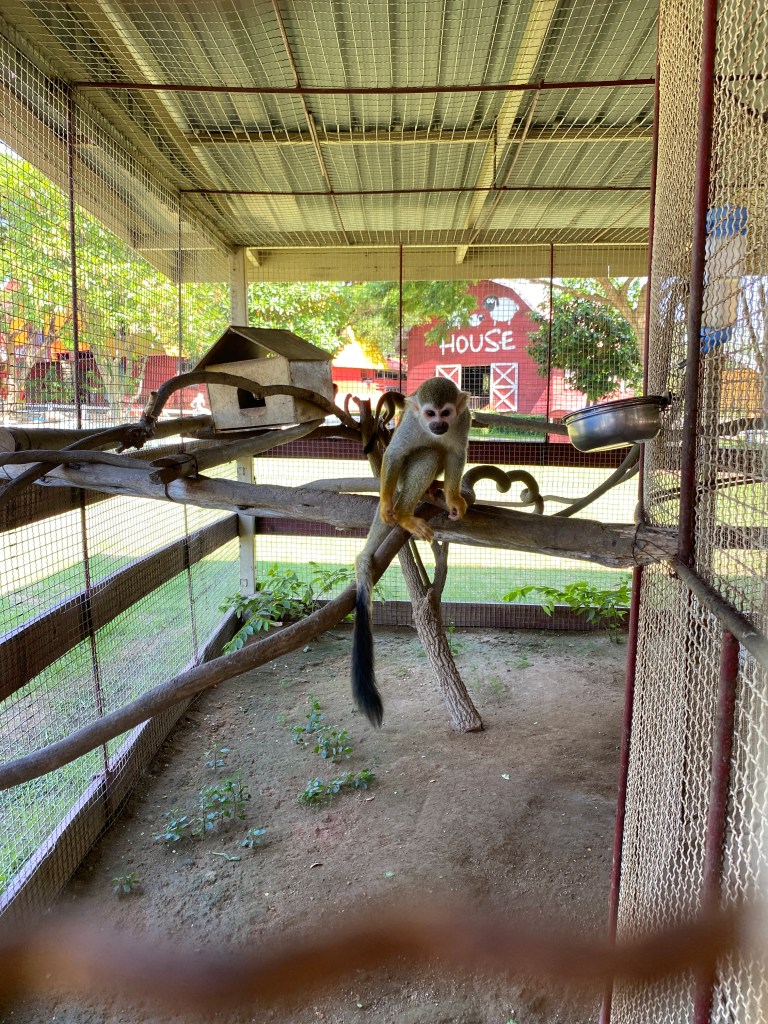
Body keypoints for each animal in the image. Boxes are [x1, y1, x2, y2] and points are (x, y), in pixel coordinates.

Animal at [352, 377, 471, 726]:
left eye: (446, 413)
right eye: (430, 413)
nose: (437, 424)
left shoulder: (463, 420)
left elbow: (456, 452)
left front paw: (453, 497)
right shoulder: (410, 429)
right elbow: (394, 454)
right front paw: (385, 504)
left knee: (440, 452)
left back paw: (437, 489)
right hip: (403, 476)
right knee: (427, 454)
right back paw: (403, 513)